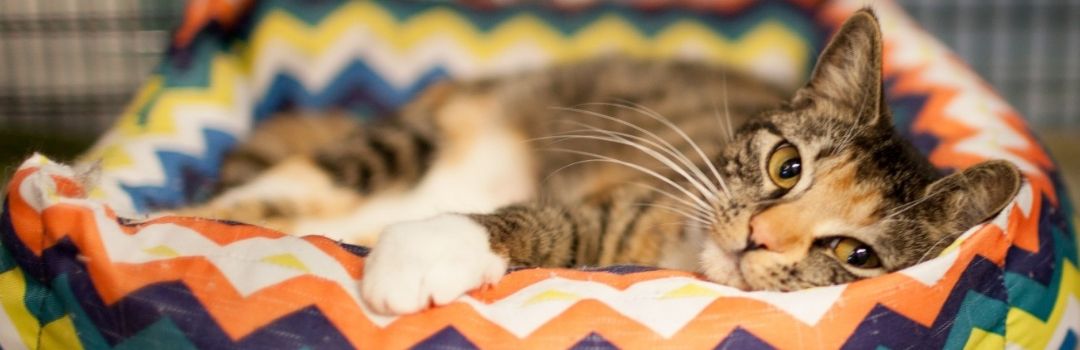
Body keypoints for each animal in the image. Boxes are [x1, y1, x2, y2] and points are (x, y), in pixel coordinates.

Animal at [177, 9, 1019, 315]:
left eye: (855, 254)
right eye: (788, 166)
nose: (759, 238)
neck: (685, 250)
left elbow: (566, 229)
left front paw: (423, 251)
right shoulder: (649, 196)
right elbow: (560, 216)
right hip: (413, 138)